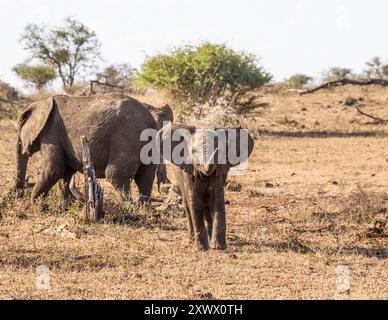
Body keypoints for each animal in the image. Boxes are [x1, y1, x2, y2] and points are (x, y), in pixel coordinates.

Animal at [14, 93, 158, 202]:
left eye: (21, 122)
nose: (18, 194)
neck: (41, 103)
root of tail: (151, 121)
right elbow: (67, 172)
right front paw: (66, 205)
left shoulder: (51, 132)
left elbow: (54, 169)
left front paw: (33, 204)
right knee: (145, 179)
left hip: (127, 140)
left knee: (116, 175)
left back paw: (127, 208)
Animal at [158, 122, 255, 250]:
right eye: (194, 151)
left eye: (220, 151)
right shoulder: (189, 172)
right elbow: (195, 202)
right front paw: (201, 248)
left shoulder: (219, 172)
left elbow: (217, 200)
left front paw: (218, 247)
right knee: (188, 205)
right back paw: (191, 240)